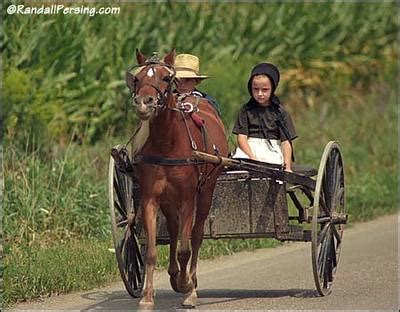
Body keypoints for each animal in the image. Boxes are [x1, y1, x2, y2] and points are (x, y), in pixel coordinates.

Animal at [126, 50, 228, 306]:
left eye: (165, 77)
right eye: (137, 78)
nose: (144, 102)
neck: (167, 143)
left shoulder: (188, 199)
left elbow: (185, 249)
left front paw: (187, 285)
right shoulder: (150, 199)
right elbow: (152, 252)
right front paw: (147, 298)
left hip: (206, 192)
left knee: (196, 235)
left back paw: (191, 285)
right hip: (168, 200)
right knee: (173, 229)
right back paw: (174, 275)